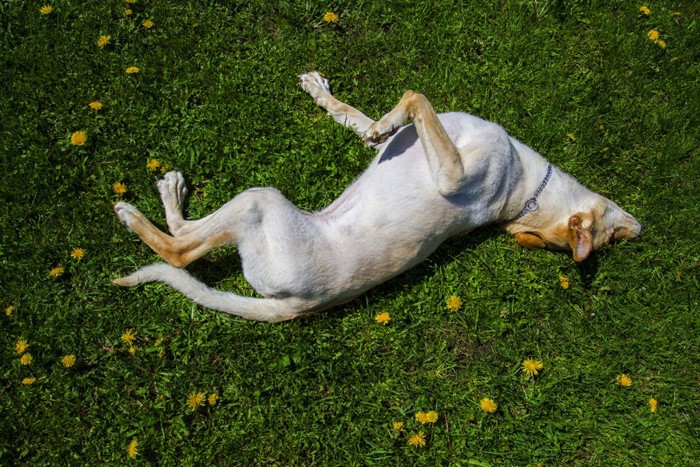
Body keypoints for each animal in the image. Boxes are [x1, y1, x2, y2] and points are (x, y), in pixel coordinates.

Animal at [112, 72, 644, 322]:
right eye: (615, 232)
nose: (640, 230)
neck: (524, 191)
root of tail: (296, 307)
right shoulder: (409, 141)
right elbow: (363, 116)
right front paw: (328, 96)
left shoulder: (451, 173)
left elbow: (415, 96)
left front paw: (391, 115)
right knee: (185, 238)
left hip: (261, 203)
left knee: (179, 250)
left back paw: (140, 211)